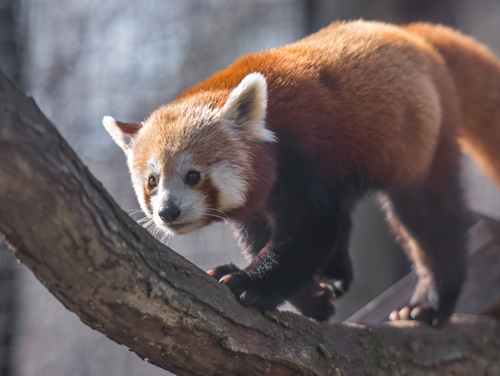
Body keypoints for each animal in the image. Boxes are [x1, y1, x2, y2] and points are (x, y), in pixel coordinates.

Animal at [103, 20, 500, 326]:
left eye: (193, 176)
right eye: (152, 182)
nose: (167, 212)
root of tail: (411, 34)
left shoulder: (305, 158)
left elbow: (308, 231)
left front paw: (251, 283)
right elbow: (264, 235)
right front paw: (313, 300)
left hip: (423, 143)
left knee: (430, 222)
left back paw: (429, 305)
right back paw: (337, 273)